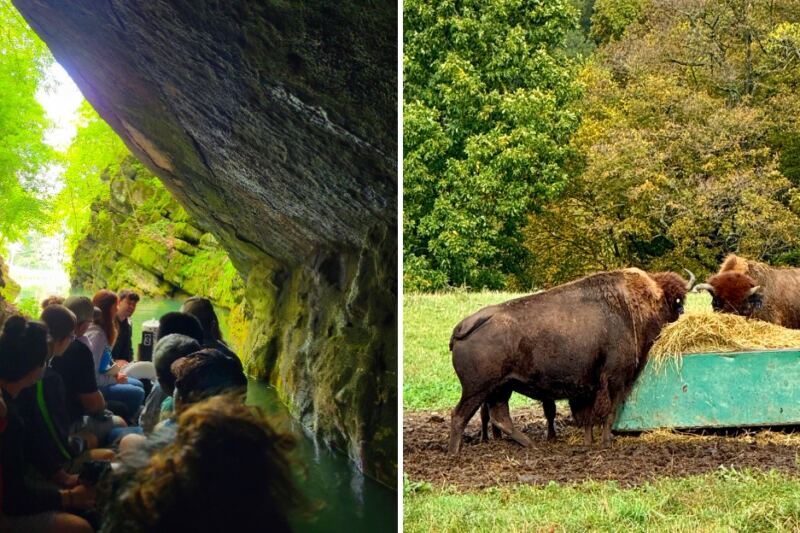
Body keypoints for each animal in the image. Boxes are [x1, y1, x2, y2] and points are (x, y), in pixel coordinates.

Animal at [448, 268, 694, 454]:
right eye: (676, 302)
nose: (682, 314)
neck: (632, 307)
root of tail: (464, 325)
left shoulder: (587, 387)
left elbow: (588, 417)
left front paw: (589, 442)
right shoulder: (614, 379)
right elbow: (608, 412)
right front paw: (606, 442)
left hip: (501, 387)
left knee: (499, 416)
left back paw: (531, 444)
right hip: (477, 389)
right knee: (460, 415)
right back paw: (455, 453)